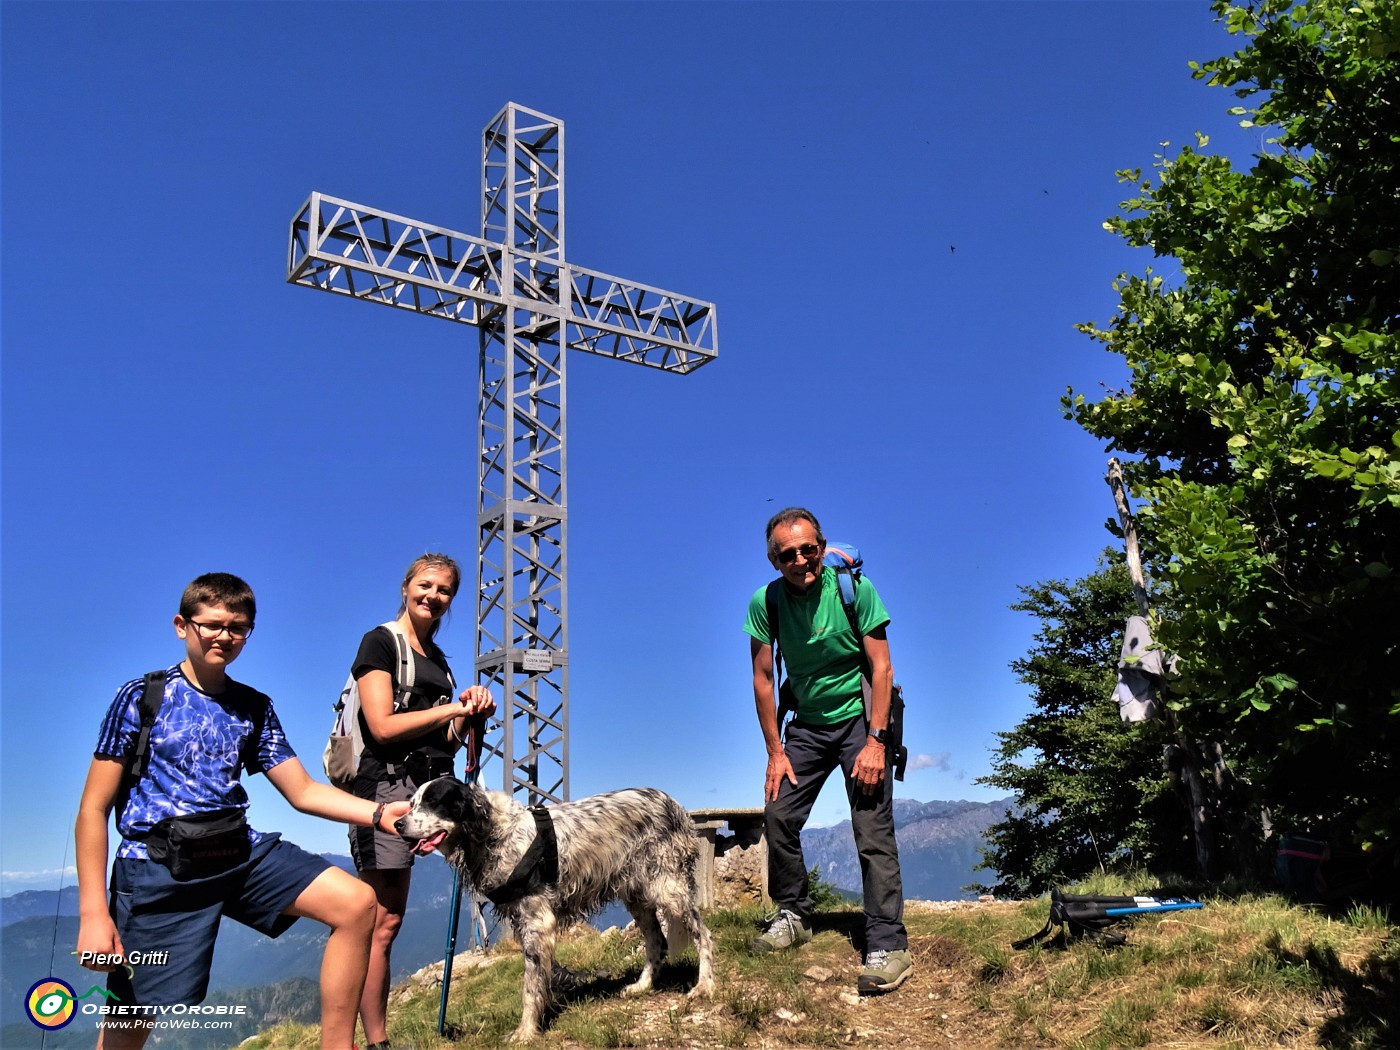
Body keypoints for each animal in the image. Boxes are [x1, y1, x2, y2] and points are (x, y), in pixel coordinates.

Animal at [397, 778, 716, 1041]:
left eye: (432, 801)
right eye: (412, 803)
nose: (397, 824)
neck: (496, 833)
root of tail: (672, 802)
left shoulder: (537, 921)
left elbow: (530, 985)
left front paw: (526, 1032)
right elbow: (539, 978)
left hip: (668, 887)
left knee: (704, 934)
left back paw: (705, 986)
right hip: (637, 894)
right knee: (657, 941)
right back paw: (643, 985)